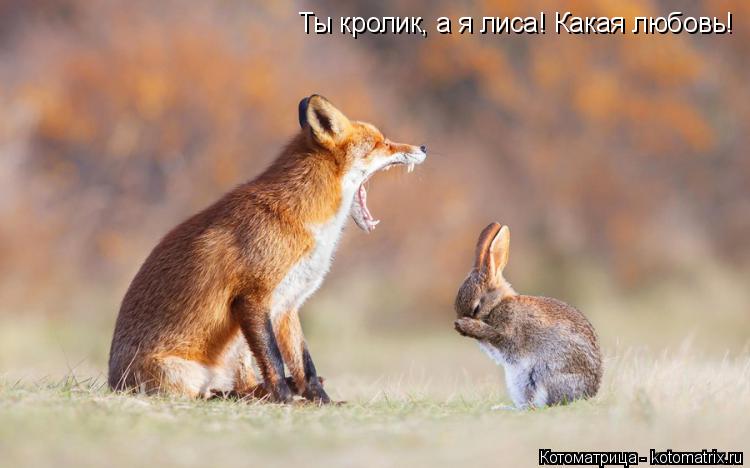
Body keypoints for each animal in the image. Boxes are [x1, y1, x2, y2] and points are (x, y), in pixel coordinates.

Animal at [108, 95, 427, 403]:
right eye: (380, 143)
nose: (423, 147)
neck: (304, 220)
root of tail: (114, 383)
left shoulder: (287, 304)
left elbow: (305, 365)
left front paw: (321, 401)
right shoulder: (252, 297)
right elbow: (274, 360)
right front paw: (285, 400)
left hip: (238, 351)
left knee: (244, 386)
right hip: (185, 372)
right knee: (208, 394)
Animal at [454, 222, 602, 409]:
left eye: (476, 308)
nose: (458, 323)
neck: (497, 304)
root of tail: (588, 394)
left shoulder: (510, 331)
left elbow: (497, 336)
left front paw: (468, 326)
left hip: (541, 374)